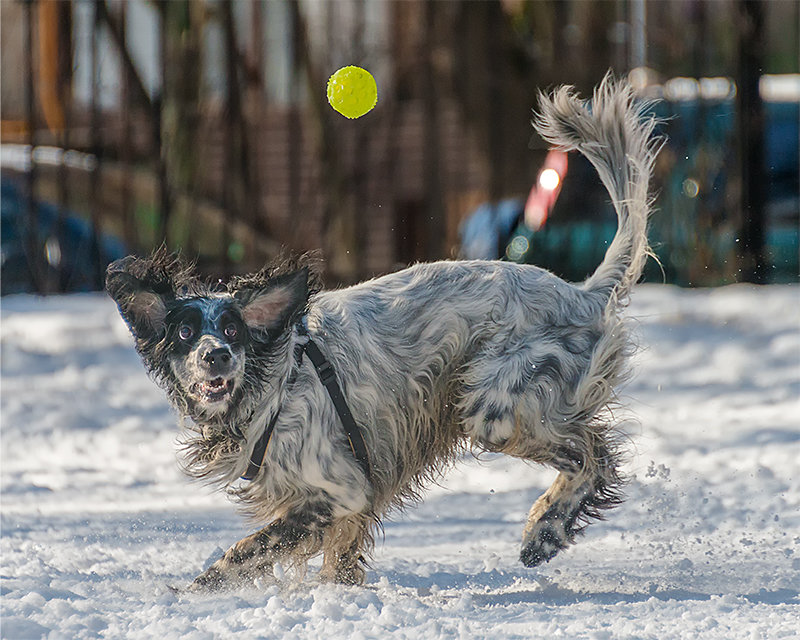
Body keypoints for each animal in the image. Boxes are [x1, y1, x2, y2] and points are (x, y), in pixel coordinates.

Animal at [106, 75, 660, 592]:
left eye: (231, 329)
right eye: (184, 332)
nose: (216, 356)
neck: (274, 385)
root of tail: (582, 293)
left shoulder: (339, 489)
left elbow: (248, 549)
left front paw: (194, 592)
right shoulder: (352, 500)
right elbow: (338, 559)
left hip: (494, 406)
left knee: (591, 453)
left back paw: (545, 527)